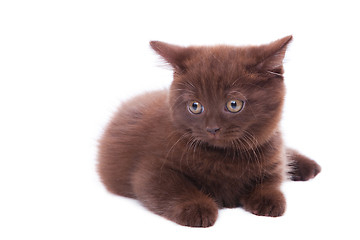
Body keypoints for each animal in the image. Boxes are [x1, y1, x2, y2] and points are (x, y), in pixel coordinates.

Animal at [97, 36, 320, 228]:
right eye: (195, 106)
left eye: (233, 104)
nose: (212, 128)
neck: (226, 157)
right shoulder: (152, 167)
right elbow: (171, 186)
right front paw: (197, 208)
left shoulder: (272, 154)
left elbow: (272, 179)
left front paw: (269, 199)